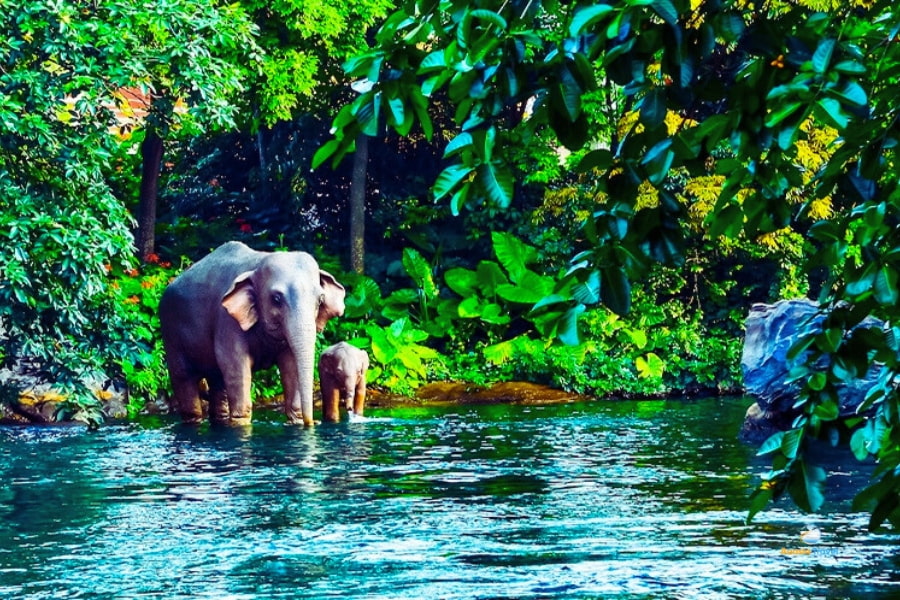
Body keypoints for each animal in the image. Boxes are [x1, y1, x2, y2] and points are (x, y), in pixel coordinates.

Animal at [159, 241, 345, 426]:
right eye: (276, 299)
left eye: (320, 300)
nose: (314, 422)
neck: (257, 263)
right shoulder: (227, 320)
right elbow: (234, 365)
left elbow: (291, 364)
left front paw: (296, 421)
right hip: (171, 335)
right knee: (184, 380)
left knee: (217, 382)